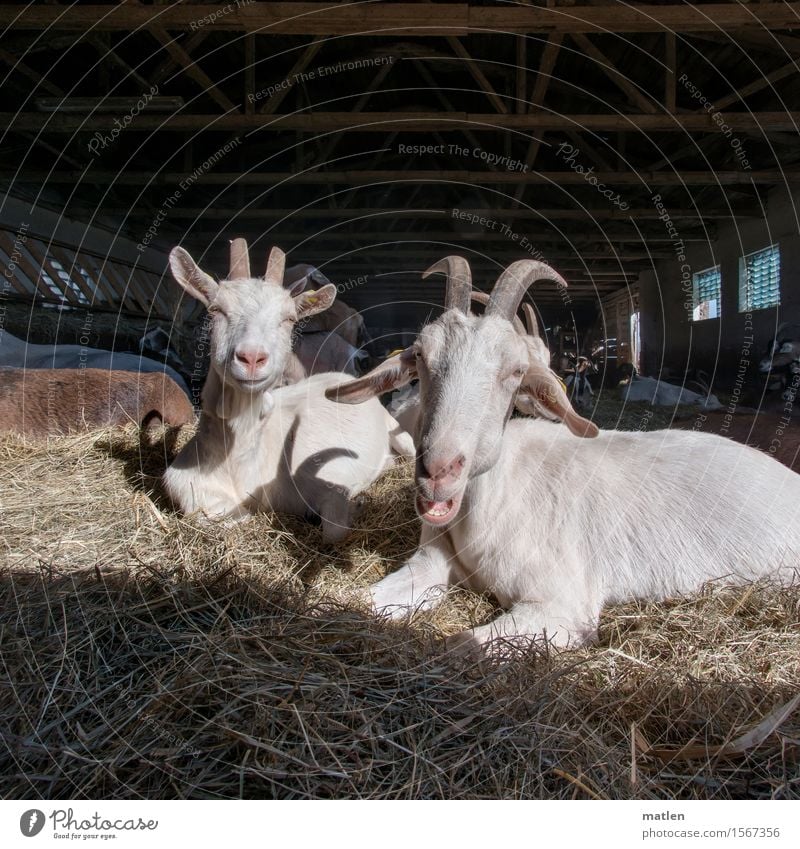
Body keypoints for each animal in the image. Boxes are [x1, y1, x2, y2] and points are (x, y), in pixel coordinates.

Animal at [162, 238, 412, 544]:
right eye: (216, 309)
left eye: (289, 318)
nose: (252, 357)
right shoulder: (187, 490)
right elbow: (218, 518)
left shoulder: (332, 476)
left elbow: (334, 530)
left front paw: (359, 503)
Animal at [324, 255, 800, 652]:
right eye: (421, 356)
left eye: (517, 370)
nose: (439, 470)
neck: (500, 497)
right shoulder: (429, 563)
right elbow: (360, 598)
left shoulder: (562, 606)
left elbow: (459, 645)